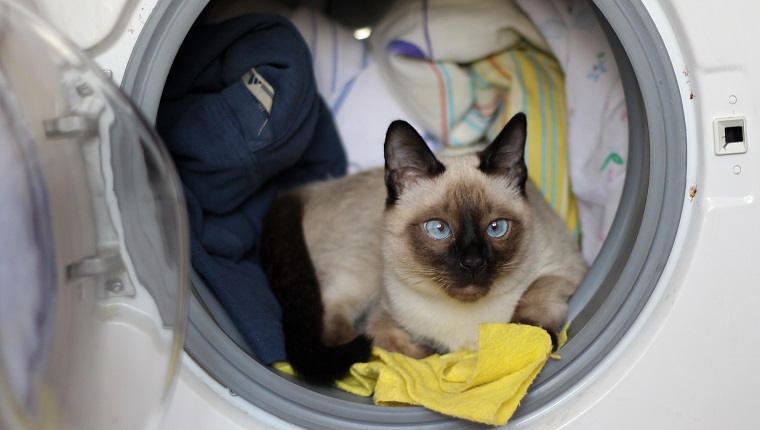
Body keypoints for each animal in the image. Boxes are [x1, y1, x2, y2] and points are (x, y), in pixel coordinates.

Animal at [262, 112, 588, 384]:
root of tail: (308, 189)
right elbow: (399, 349)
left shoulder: (565, 269)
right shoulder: (384, 318)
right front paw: (439, 360)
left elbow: (533, 299)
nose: (473, 263)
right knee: (333, 316)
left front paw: (532, 337)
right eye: (438, 229)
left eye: (496, 228)